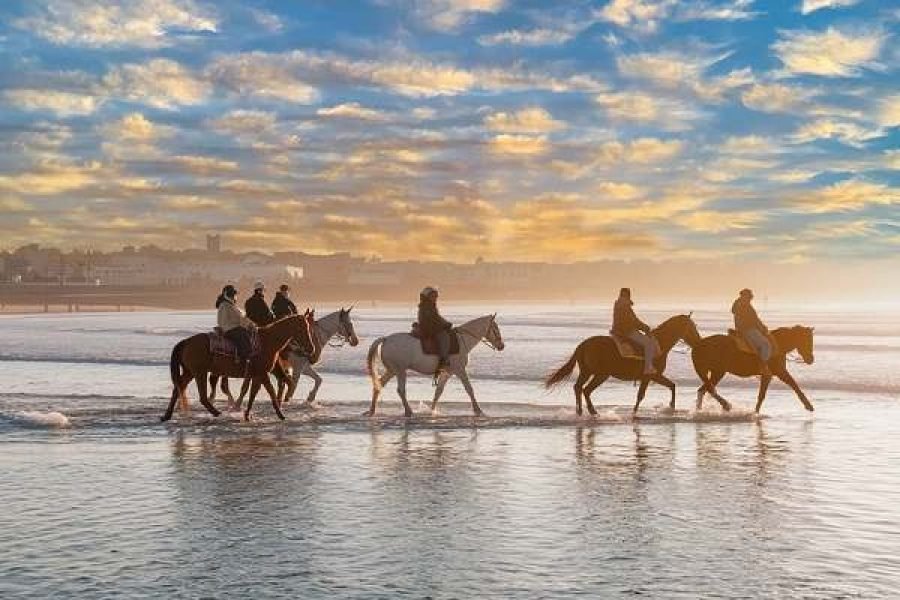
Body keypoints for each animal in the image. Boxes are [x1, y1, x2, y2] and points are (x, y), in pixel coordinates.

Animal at [162, 312, 316, 424]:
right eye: (303, 328)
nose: (312, 348)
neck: (267, 342)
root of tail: (186, 342)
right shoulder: (262, 373)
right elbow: (270, 391)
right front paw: (281, 415)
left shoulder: (257, 375)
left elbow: (253, 394)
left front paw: (247, 415)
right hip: (199, 373)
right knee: (202, 397)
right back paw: (217, 413)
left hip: (190, 372)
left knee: (178, 388)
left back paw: (167, 415)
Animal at [366, 314, 506, 418]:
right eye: (495, 328)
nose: (501, 346)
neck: (461, 341)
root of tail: (386, 339)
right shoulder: (460, 370)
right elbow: (469, 389)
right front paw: (478, 410)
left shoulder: (447, 372)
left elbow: (439, 391)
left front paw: (432, 410)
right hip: (400, 370)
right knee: (400, 390)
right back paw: (408, 411)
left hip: (392, 370)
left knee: (378, 385)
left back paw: (372, 410)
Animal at [540, 314, 712, 418]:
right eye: (692, 327)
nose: (698, 341)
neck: (659, 344)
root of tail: (583, 344)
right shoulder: (651, 376)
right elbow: (643, 395)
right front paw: (635, 413)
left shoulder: (653, 377)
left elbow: (671, 386)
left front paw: (670, 408)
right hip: (600, 374)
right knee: (585, 389)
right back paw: (591, 411)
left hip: (588, 372)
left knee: (579, 388)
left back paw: (582, 411)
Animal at [688, 324, 816, 412]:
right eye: (806, 341)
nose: (810, 359)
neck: (777, 345)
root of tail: (698, 344)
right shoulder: (779, 373)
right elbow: (793, 385)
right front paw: (808, 405)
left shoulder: (772, 375)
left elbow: (763, 395)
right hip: (716, 372)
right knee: (709, 389)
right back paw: (726, 405)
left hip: (715, 372)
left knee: (703, 390)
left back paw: (700, 410)